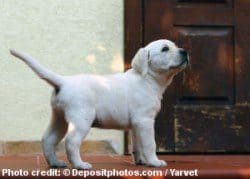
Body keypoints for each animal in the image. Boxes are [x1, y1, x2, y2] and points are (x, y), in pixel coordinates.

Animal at [10, 39, 189, 169]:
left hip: (59, 118)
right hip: (81, 119)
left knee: (48, 139)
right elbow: (150, 143)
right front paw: (155, 162)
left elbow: (138, 144)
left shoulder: (136, 124)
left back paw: (56, 163)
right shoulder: (145, 120)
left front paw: (141, 161)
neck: (147, 78)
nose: (185, 51)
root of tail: (64, 81)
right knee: (71, 141)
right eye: (165, 49)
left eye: (175, 46)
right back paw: (80, 165)